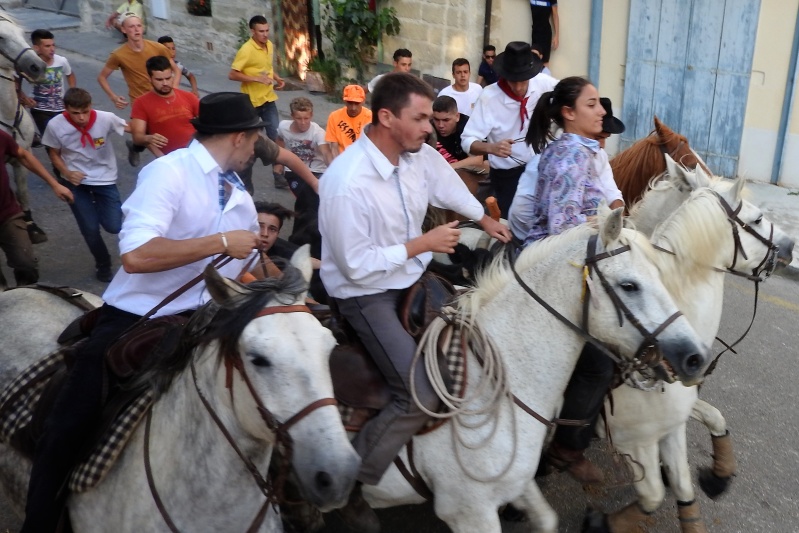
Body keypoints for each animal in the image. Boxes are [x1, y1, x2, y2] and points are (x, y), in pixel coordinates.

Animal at [588, 160, 792, 528]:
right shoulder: (632, 438)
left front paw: (718, 475)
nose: (790, 246)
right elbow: (653, 494)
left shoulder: (678, 412)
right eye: (756, 219)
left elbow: (713, 421)